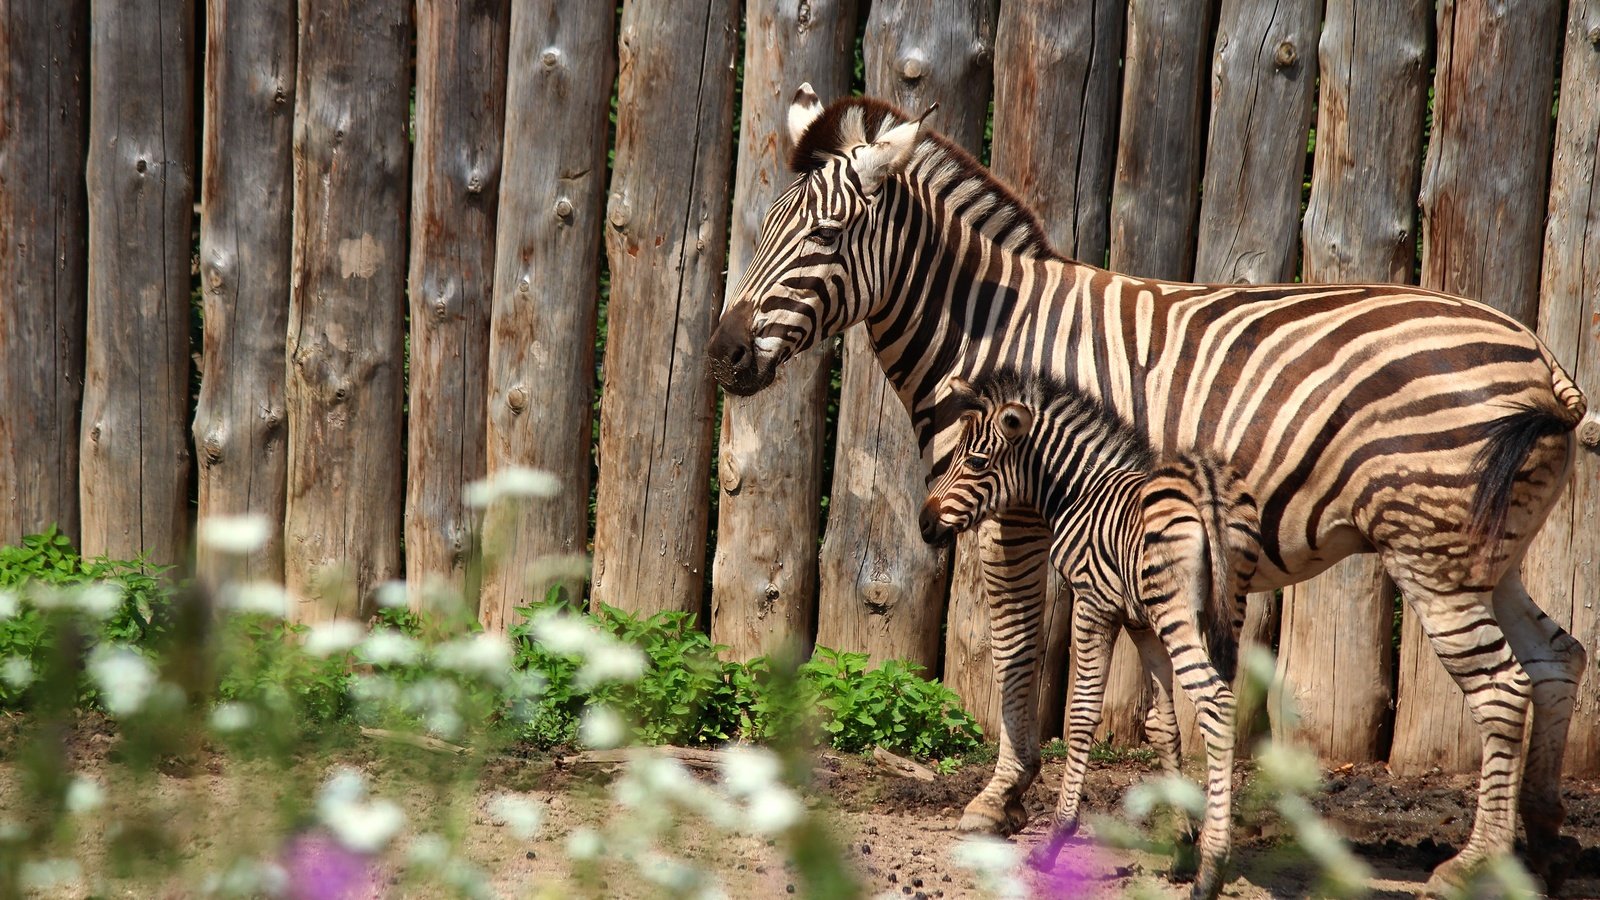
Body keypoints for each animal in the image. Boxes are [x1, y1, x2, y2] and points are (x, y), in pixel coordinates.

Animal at [915, 368, 1260, 883]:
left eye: (975, 462)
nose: (924, 524)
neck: (1082, 488)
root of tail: (1206, 485)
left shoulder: (1094, 601)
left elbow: (1081, 714)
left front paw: (1058, 836)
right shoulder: (1141, 622)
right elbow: (1164, 725)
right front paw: (1181, 844)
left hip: (1178, 616)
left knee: (1215, 702)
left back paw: (1213, 867)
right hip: (1224, 607)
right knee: (1221, 703)